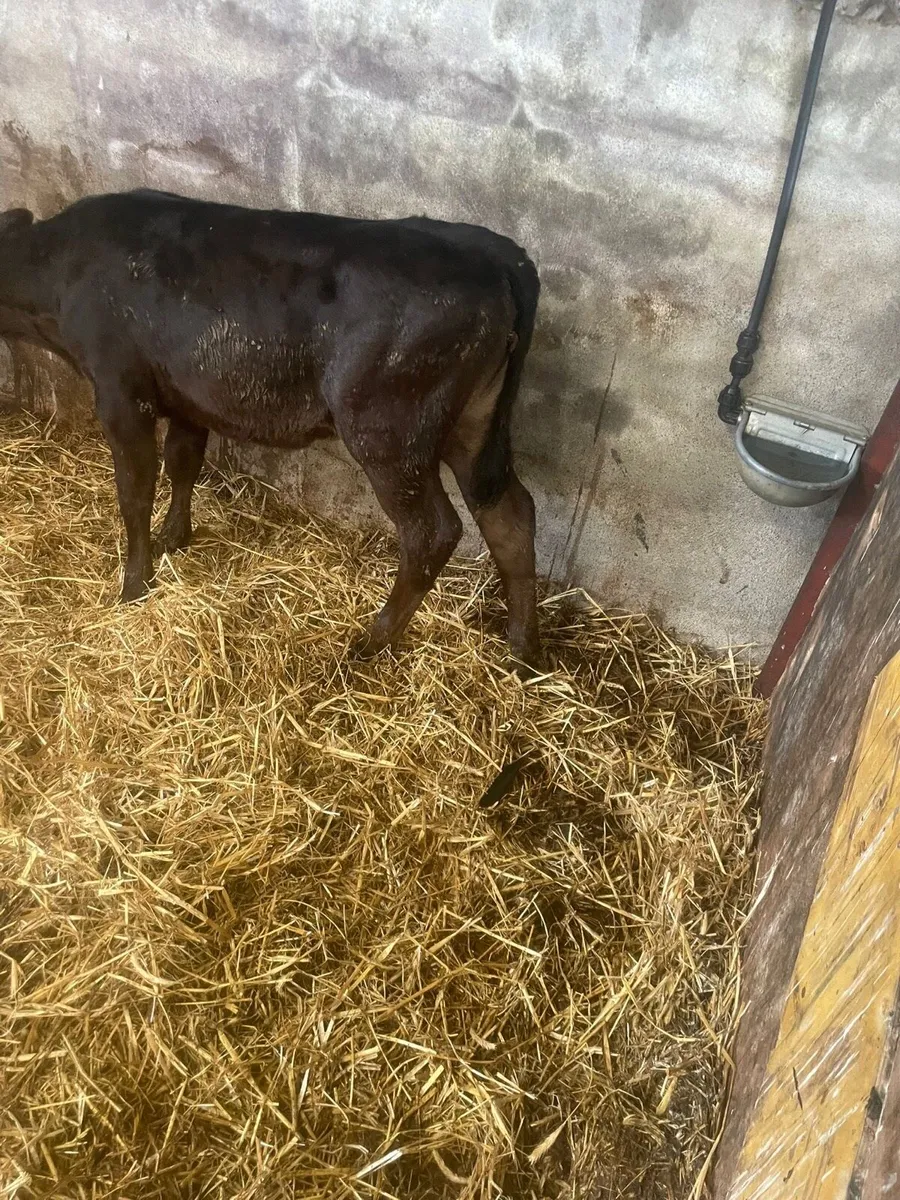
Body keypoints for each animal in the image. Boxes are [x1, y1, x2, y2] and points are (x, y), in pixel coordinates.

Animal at [0, 190, 542, 672]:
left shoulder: (121, 393)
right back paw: (522, 652)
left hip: (388, 431)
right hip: (473, 424)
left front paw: (135, 584)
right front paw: (174, 538)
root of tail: (497, 254)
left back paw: (370, 643)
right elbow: (183, 462)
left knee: (432, 532)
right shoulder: (187, 396)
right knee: (509, 513)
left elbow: (135, 491)